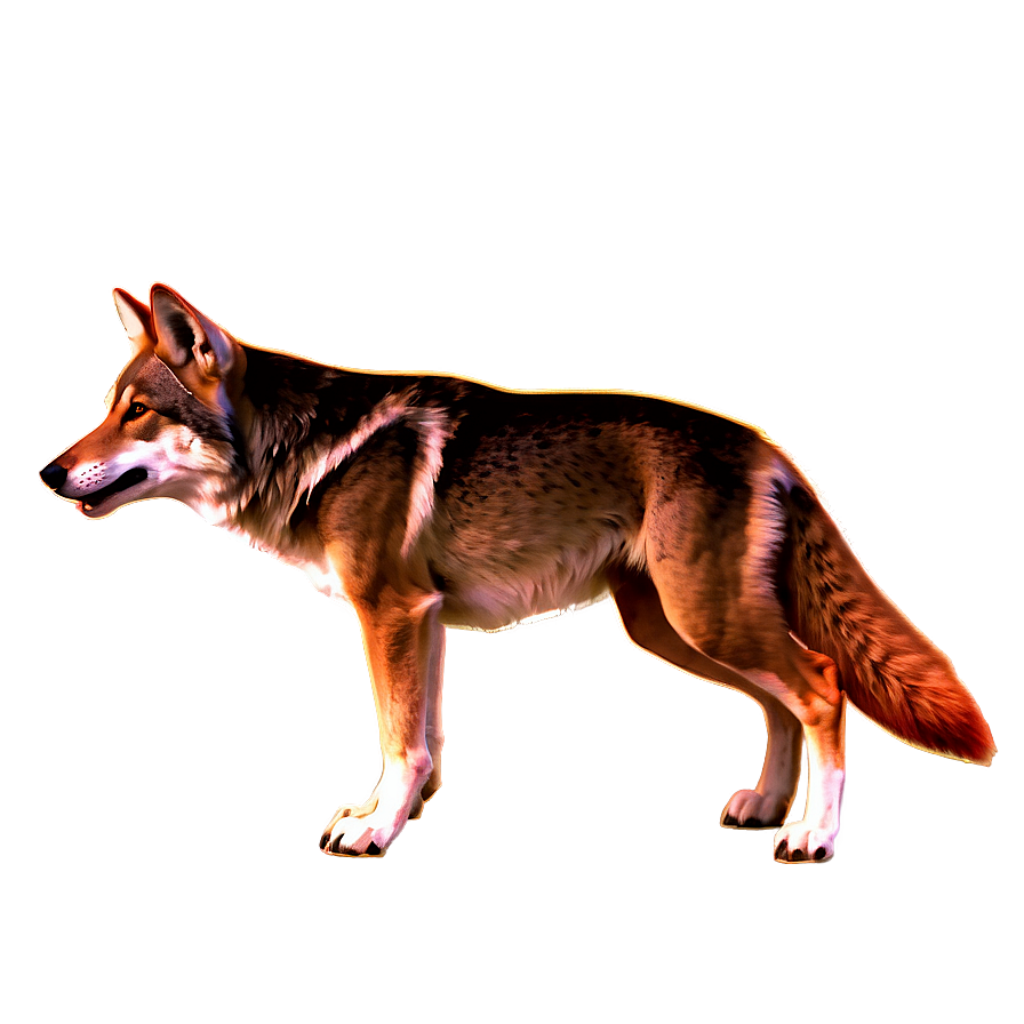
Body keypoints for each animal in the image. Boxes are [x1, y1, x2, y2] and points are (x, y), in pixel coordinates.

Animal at [38, 282, 995, 863]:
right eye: (106, 409)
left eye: (138, 412)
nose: (48, 472)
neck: (307, 451)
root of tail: (773, 450)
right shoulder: (420, 621)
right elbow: (419, 741)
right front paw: (394, 814)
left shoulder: (390, 614)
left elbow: (400, 736)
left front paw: (376, 831)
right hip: (673, 629)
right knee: (782, 703)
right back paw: (765, 807)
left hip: (702, 621)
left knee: (824, 687)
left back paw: (812, 836)